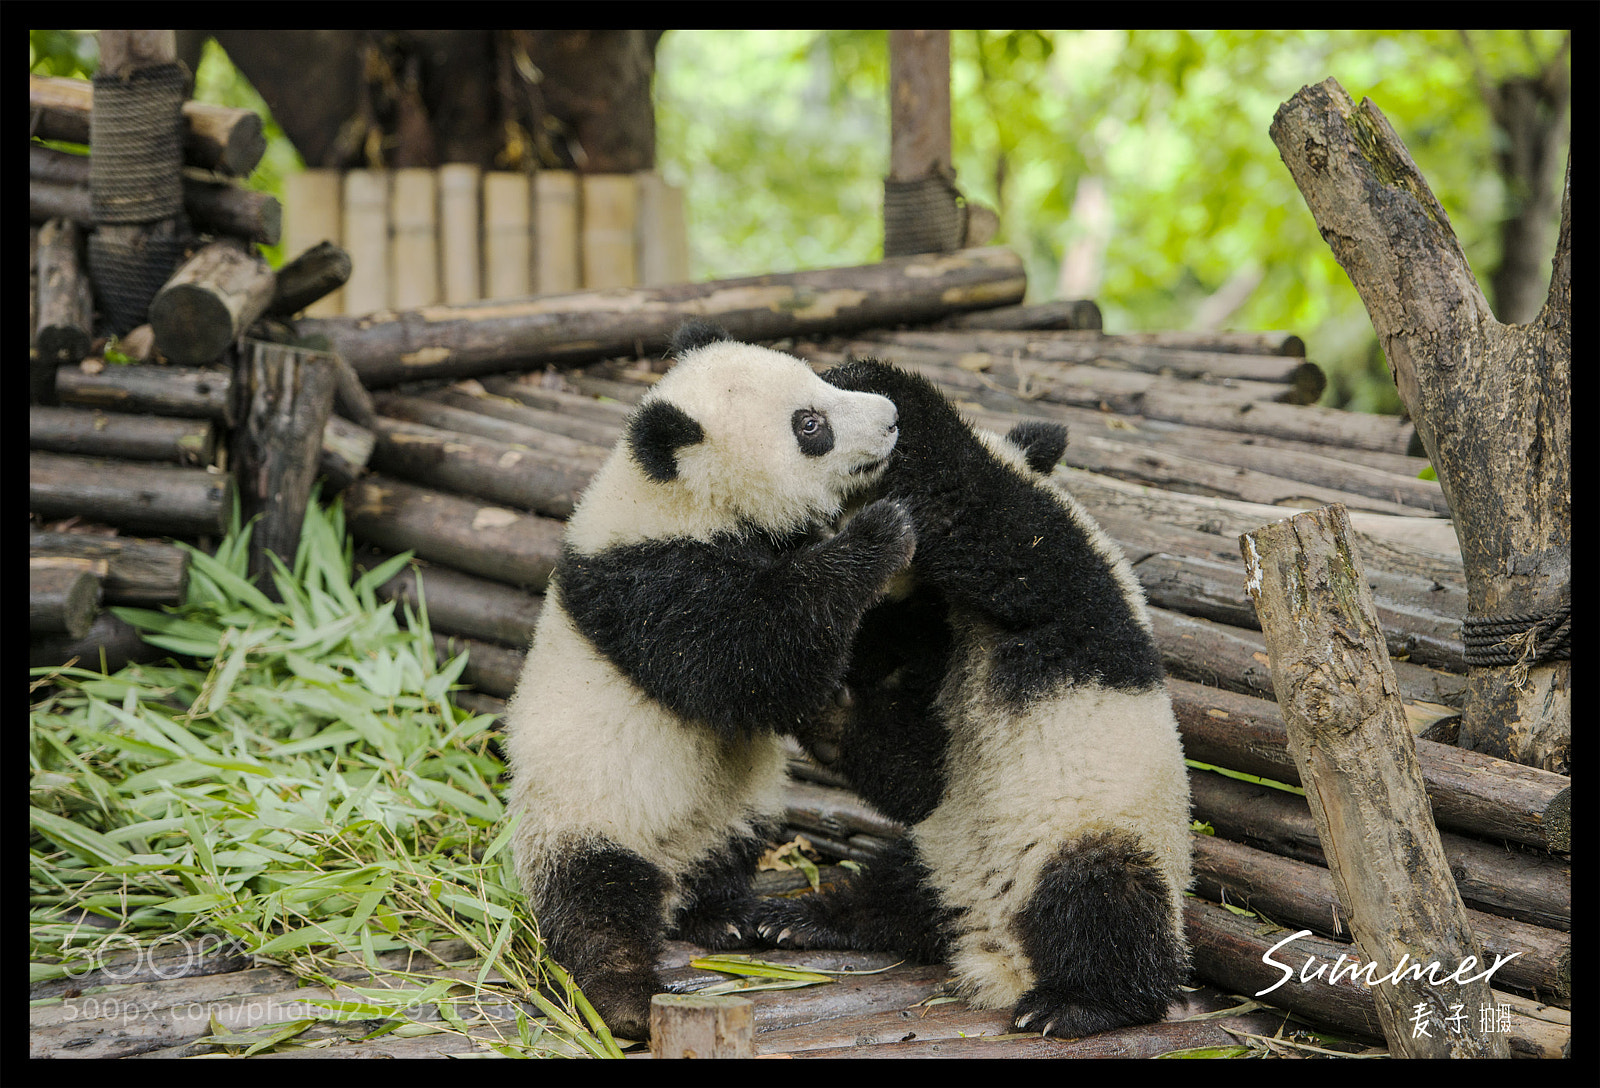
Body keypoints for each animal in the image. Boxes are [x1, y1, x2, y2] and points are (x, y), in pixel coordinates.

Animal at [502, 322, 913, 1040]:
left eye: (821, 381)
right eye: (810, 425)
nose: (891, 418)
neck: (680, 499)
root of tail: (668, 873)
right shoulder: (648, 584)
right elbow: (752, 664)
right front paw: (879, 532)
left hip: (729, 813)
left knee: (724, 853)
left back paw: (726, 917)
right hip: (585, 807)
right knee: (594, 899)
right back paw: (622, 998)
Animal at [757, 358, 1193, 1039]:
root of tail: (993, 948)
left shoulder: (1055, 579)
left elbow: (985, 515)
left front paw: (877, 384)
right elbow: (913, 776)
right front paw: (822, 705)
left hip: (1097, 829)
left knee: (1105, 900)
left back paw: (1078, 1003)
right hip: (942, 849)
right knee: (896, 884)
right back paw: (805, 919)